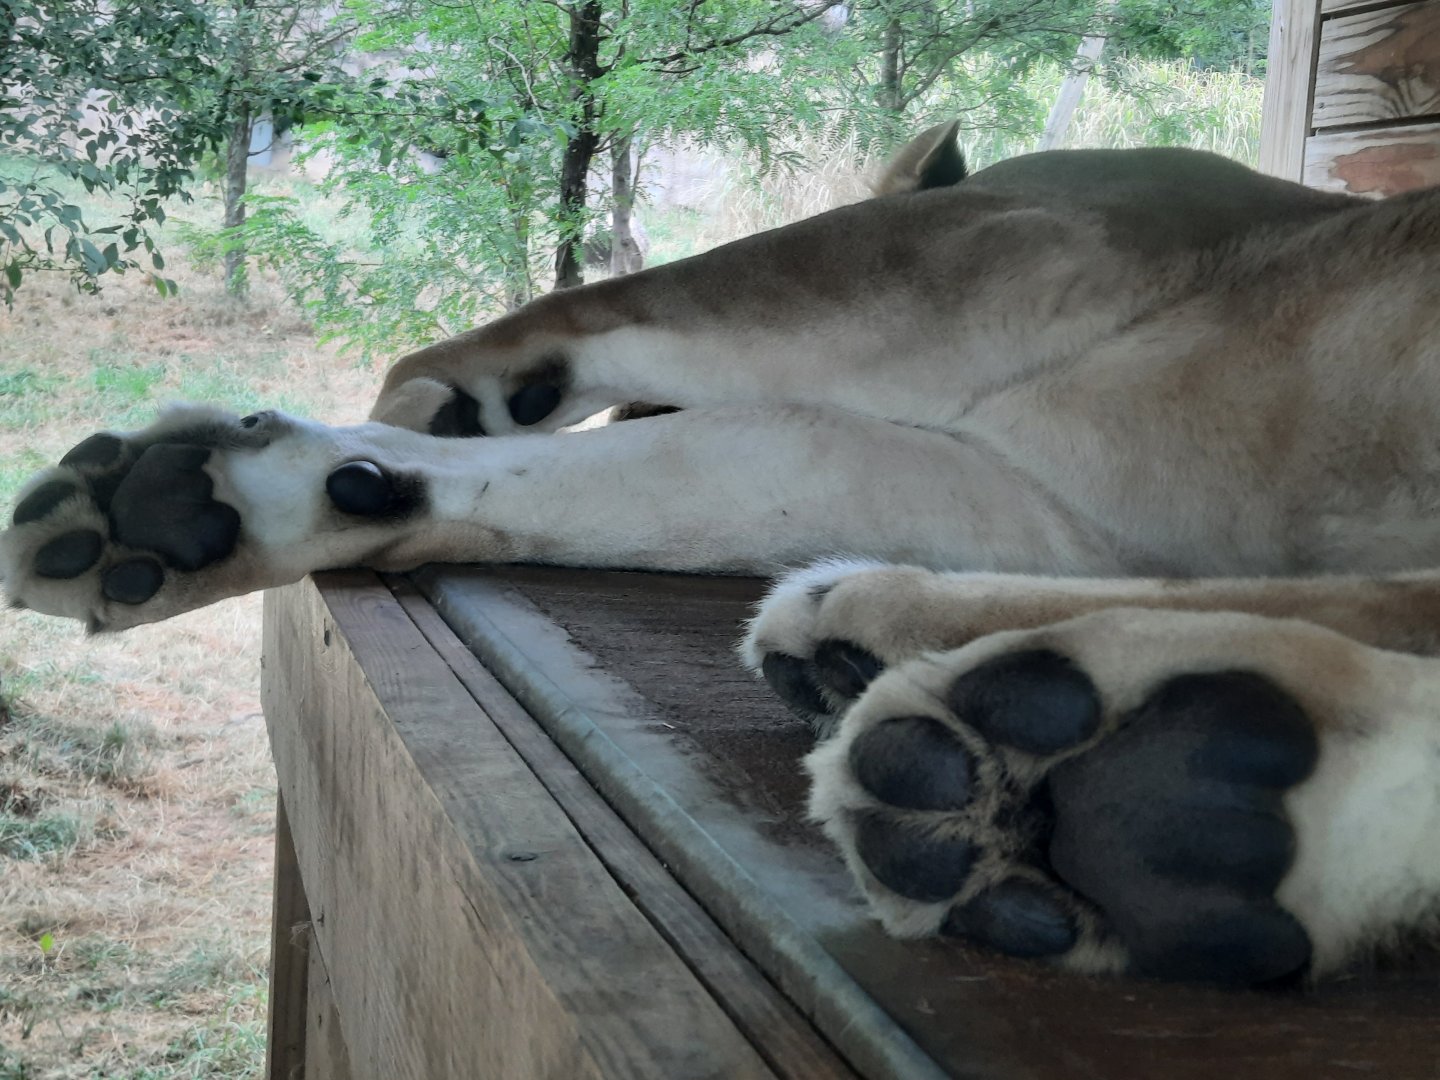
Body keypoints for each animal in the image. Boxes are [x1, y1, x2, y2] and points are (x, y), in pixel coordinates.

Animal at [4, 122, 1439, 986]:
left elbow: (598, 317)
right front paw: (269, 494)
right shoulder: (1021, 479)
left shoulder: (976, 255)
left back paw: (1136, 776)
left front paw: (435, 399)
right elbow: (604, 481)